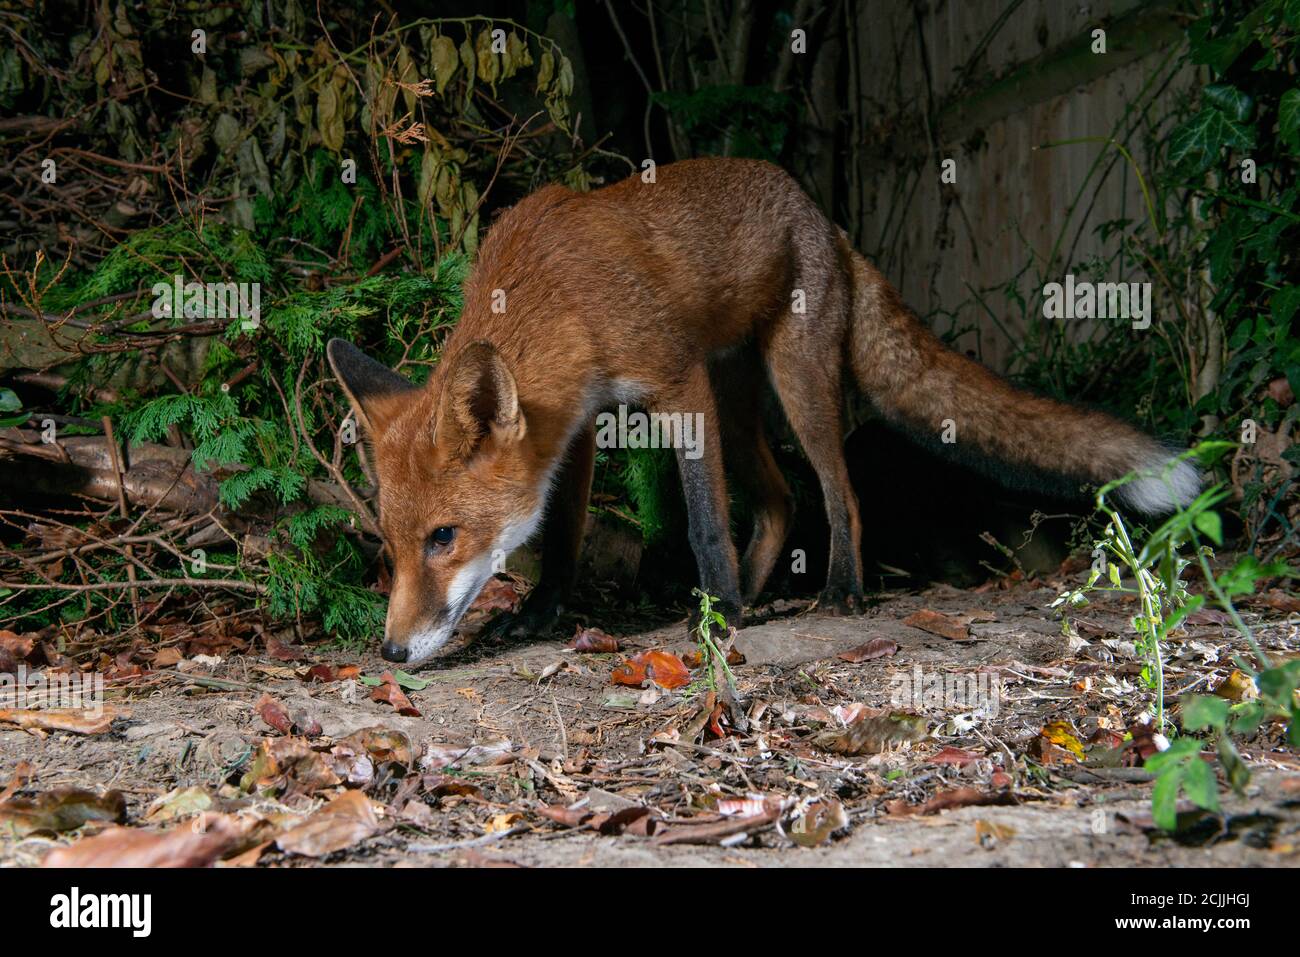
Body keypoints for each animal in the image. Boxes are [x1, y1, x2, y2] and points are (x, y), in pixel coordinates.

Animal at [327, 157, 1196, 665]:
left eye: (444, 537)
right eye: (391, 545)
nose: (392, 652)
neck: (556, 293)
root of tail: (828, 220)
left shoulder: (674, 385)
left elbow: (704, 519)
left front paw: (719, 616)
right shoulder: (572, 428)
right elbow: (564, 536)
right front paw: (542, 613)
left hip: (793, 383)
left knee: (836, 492)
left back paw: (834, 588)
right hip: (741, 411)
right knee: (777, 503)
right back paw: (750, 588)